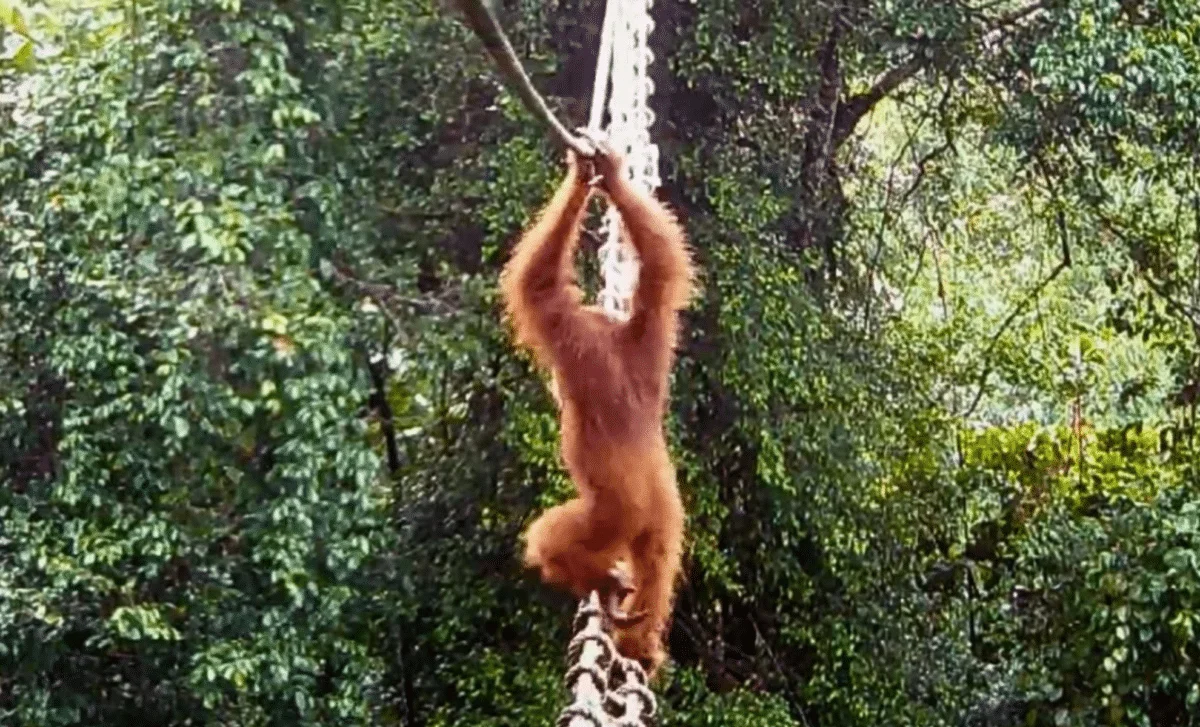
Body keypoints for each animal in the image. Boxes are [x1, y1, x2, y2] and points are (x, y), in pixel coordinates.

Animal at [499, 138, 694, 677]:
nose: (554, 389)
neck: (609, 333)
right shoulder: (650, 329)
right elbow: (662, 268)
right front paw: (612, 178)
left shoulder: (565, 329)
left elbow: (539, 283)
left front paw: (583, 175)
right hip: (664, 516)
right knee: (658, 567)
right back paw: (641, 644)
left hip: (610, 515)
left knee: (546, 539)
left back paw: (597, 580)